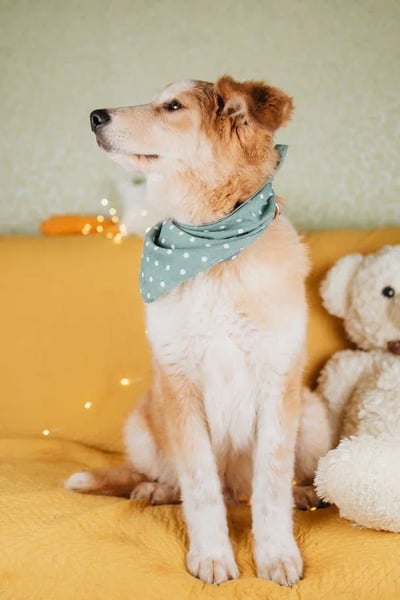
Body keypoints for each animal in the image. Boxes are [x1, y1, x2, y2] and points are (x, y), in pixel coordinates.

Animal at [65, 76, 329, 586]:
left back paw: (303, 494)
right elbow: (200, 487)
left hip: (312, 414)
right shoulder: (179, 384)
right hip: (143, 423)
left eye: (173, 107)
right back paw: (153, 490)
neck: (211, 248)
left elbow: (271, 486)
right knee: (179, 482)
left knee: (270, 484)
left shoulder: (278, 382)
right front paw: (212, 556)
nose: (94, 116)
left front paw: (276, 554)